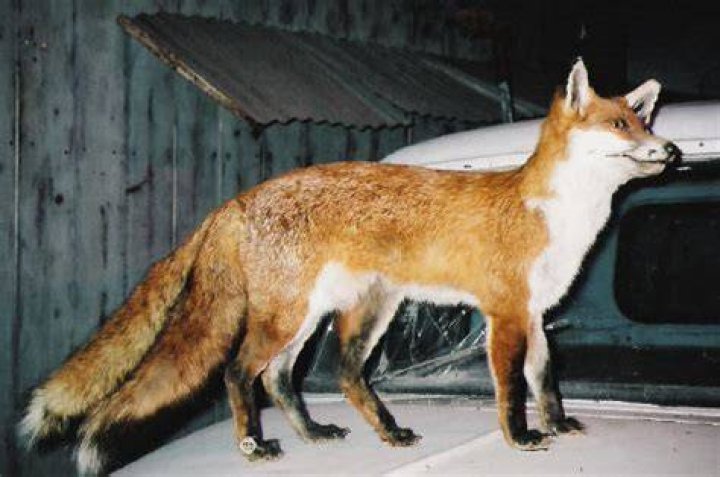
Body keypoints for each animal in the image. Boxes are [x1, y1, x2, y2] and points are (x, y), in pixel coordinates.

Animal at [19, 58, 679, 475]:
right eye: (619, 126)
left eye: (644, 121)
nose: (671, 150)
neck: (554, 215)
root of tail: (236, 201)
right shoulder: (506, 312)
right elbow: (512, 388)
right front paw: (518, 438)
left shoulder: (537, 314)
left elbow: (546, 381)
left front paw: (559, 425)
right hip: (292, 317)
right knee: (239, 372)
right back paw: (255, 445)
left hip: (344, 313)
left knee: (302, 377)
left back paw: (346, 433)